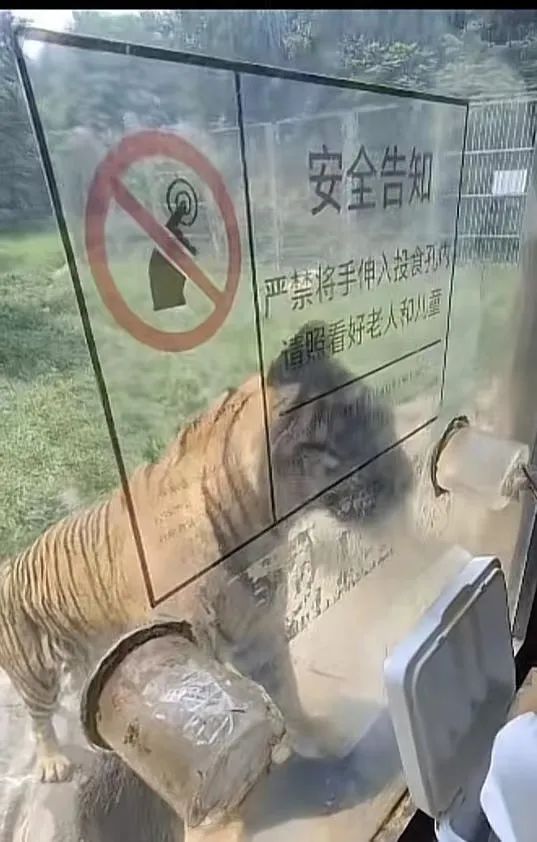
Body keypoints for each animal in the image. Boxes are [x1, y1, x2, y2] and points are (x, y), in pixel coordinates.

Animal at [0, 319, 413, 799]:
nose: (408, 478)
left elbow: (287, 692)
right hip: (35, 673)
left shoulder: (260, 631)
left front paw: (319, 739)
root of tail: (10, 561)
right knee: (39, 720)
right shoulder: (194, 645)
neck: (261, 524)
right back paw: (53, 762)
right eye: (360, 429)